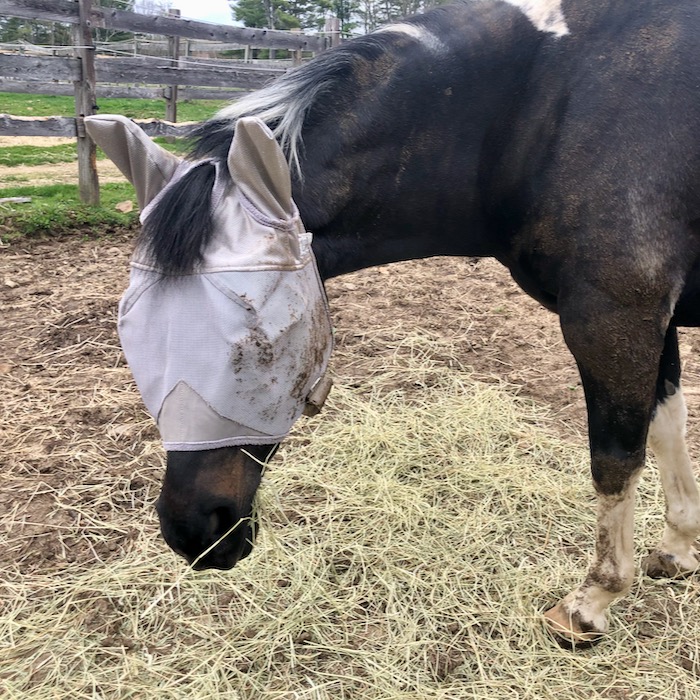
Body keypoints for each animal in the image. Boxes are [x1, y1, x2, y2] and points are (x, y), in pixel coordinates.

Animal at [87, 0, 700, 644]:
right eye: (131, 330)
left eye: (259, 339)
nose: (193, 532)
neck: (544, 104)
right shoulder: (650, 321)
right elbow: (667, 425)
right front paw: (678, 546)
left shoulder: (614, 315)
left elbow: (615, 457)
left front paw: (593, 600)